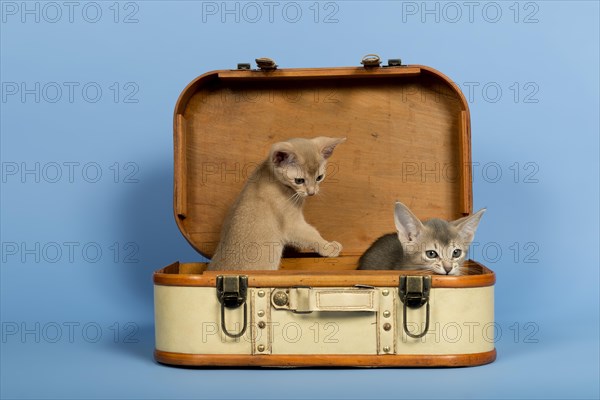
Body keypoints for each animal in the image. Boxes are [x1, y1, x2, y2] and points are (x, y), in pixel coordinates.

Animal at [207, 136, 344, 270]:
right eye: (299, 180)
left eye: (319, 178)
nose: (312, 192)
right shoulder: (293, 225)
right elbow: (311, 234)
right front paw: (328, 246)